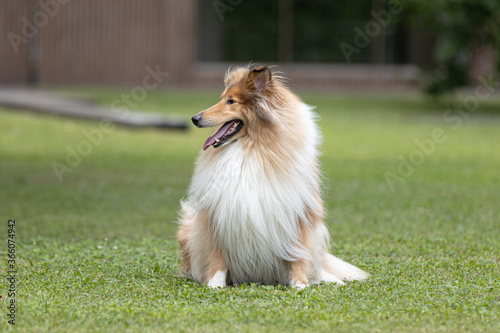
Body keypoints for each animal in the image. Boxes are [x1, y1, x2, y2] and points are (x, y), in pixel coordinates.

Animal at [176, 65, 368, 288]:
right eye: (222, 98)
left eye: (231, 101)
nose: (194, 119)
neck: (254, 146)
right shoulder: (216, 214)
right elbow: (217, 257)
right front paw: (215, 283)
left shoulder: (299, 213)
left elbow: (299, 255)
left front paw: (300, 285)